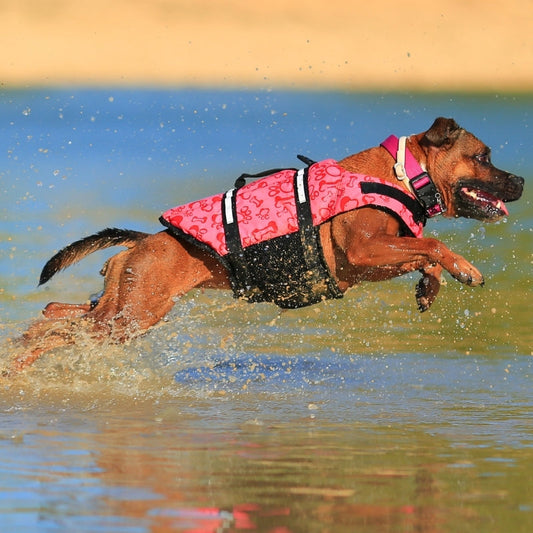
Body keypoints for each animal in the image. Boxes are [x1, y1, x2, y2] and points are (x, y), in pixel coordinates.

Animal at [9, 118, 524, 372]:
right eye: (483, 157)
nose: (520, 181)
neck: (402, 173)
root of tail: (141, 241)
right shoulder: (363, 253)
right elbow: (433, 243)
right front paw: (465, 268)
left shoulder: (373, 260)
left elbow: (425, 251)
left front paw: (430, 287)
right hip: (131, 316)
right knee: (62, 330)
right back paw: (20, 363)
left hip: (121, 305)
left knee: (56, 313)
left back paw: (21, 348)